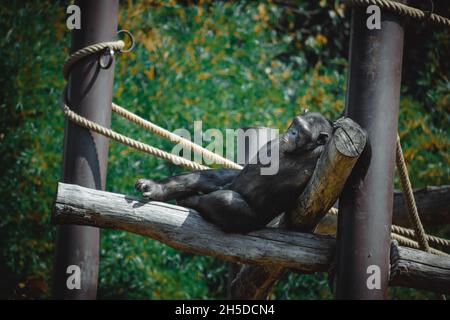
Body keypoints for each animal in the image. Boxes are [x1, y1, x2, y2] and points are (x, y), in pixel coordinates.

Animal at [135, 112, 332, 232]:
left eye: (302, 131)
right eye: (295, 123)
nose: (292, 133)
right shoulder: (275, 142)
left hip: (250, 222)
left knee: (226, 200)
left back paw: (191, 200)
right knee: (210, 179)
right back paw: (156, 188)